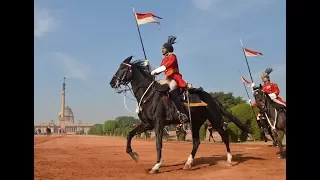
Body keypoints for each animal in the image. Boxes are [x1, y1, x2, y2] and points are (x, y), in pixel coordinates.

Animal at [109, 56, 251, 173]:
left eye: (122, 68)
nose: (112, 82)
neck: (149, 94)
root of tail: (212, 98)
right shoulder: (147, 124)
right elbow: (129, 134)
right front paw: (134, 155)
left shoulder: (158, 123)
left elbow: (158, 144)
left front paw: (156, 166)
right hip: (196, 123)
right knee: (196, 142)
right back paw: (188, 163)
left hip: (215, 120)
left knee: (225, 136)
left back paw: (229, 159)